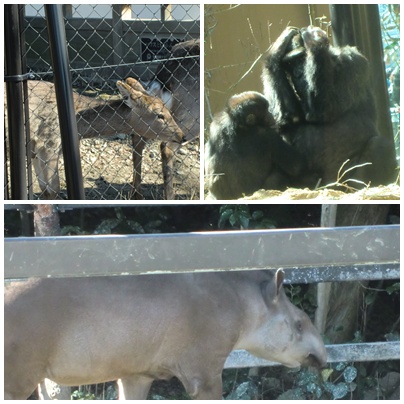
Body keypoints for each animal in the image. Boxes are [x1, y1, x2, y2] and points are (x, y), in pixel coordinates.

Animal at [3, 77, 184, 199]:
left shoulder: (35, 150)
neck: (78, 127)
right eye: (159, 115)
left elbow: (44, 189)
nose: (181, 135)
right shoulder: (48, 142)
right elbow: (53, 190)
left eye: (167, 110)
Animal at [262, 26, 398, 189]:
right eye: (290, 64)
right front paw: (275, 51)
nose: (297, 74)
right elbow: (290, 117)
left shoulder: (352, 62)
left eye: (301, 59)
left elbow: (326, 109)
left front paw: (315, 43)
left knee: (380, 145)